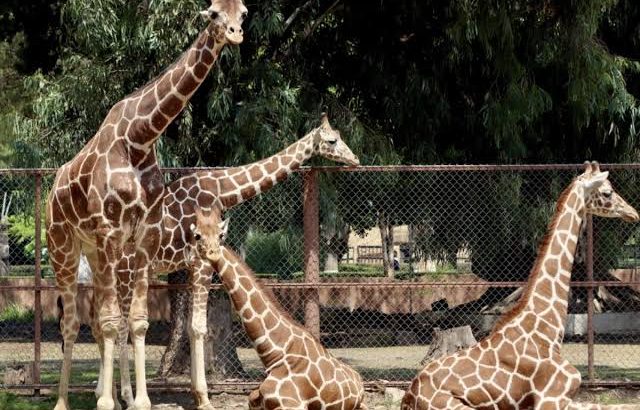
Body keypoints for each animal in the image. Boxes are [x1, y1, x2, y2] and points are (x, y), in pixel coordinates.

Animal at [47, 1, 248, 408]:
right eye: (213, 14)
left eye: (243, 12)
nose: (235, 34)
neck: (140, 139)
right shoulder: (111, 231)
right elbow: (113, 323)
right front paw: (108, 402)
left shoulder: (142, 237)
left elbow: (136, 322)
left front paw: (139, 400)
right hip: (62, 246)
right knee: (72, 322)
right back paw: (62, 401)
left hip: (92, 252)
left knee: (94, 320)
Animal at [190, 208, 368, 410]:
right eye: (197, 235)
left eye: (221, 235)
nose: (212, 253)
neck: (276, 353)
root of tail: (359, 380)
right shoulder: (256, 399)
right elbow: (250, 397)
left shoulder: (293, 404)